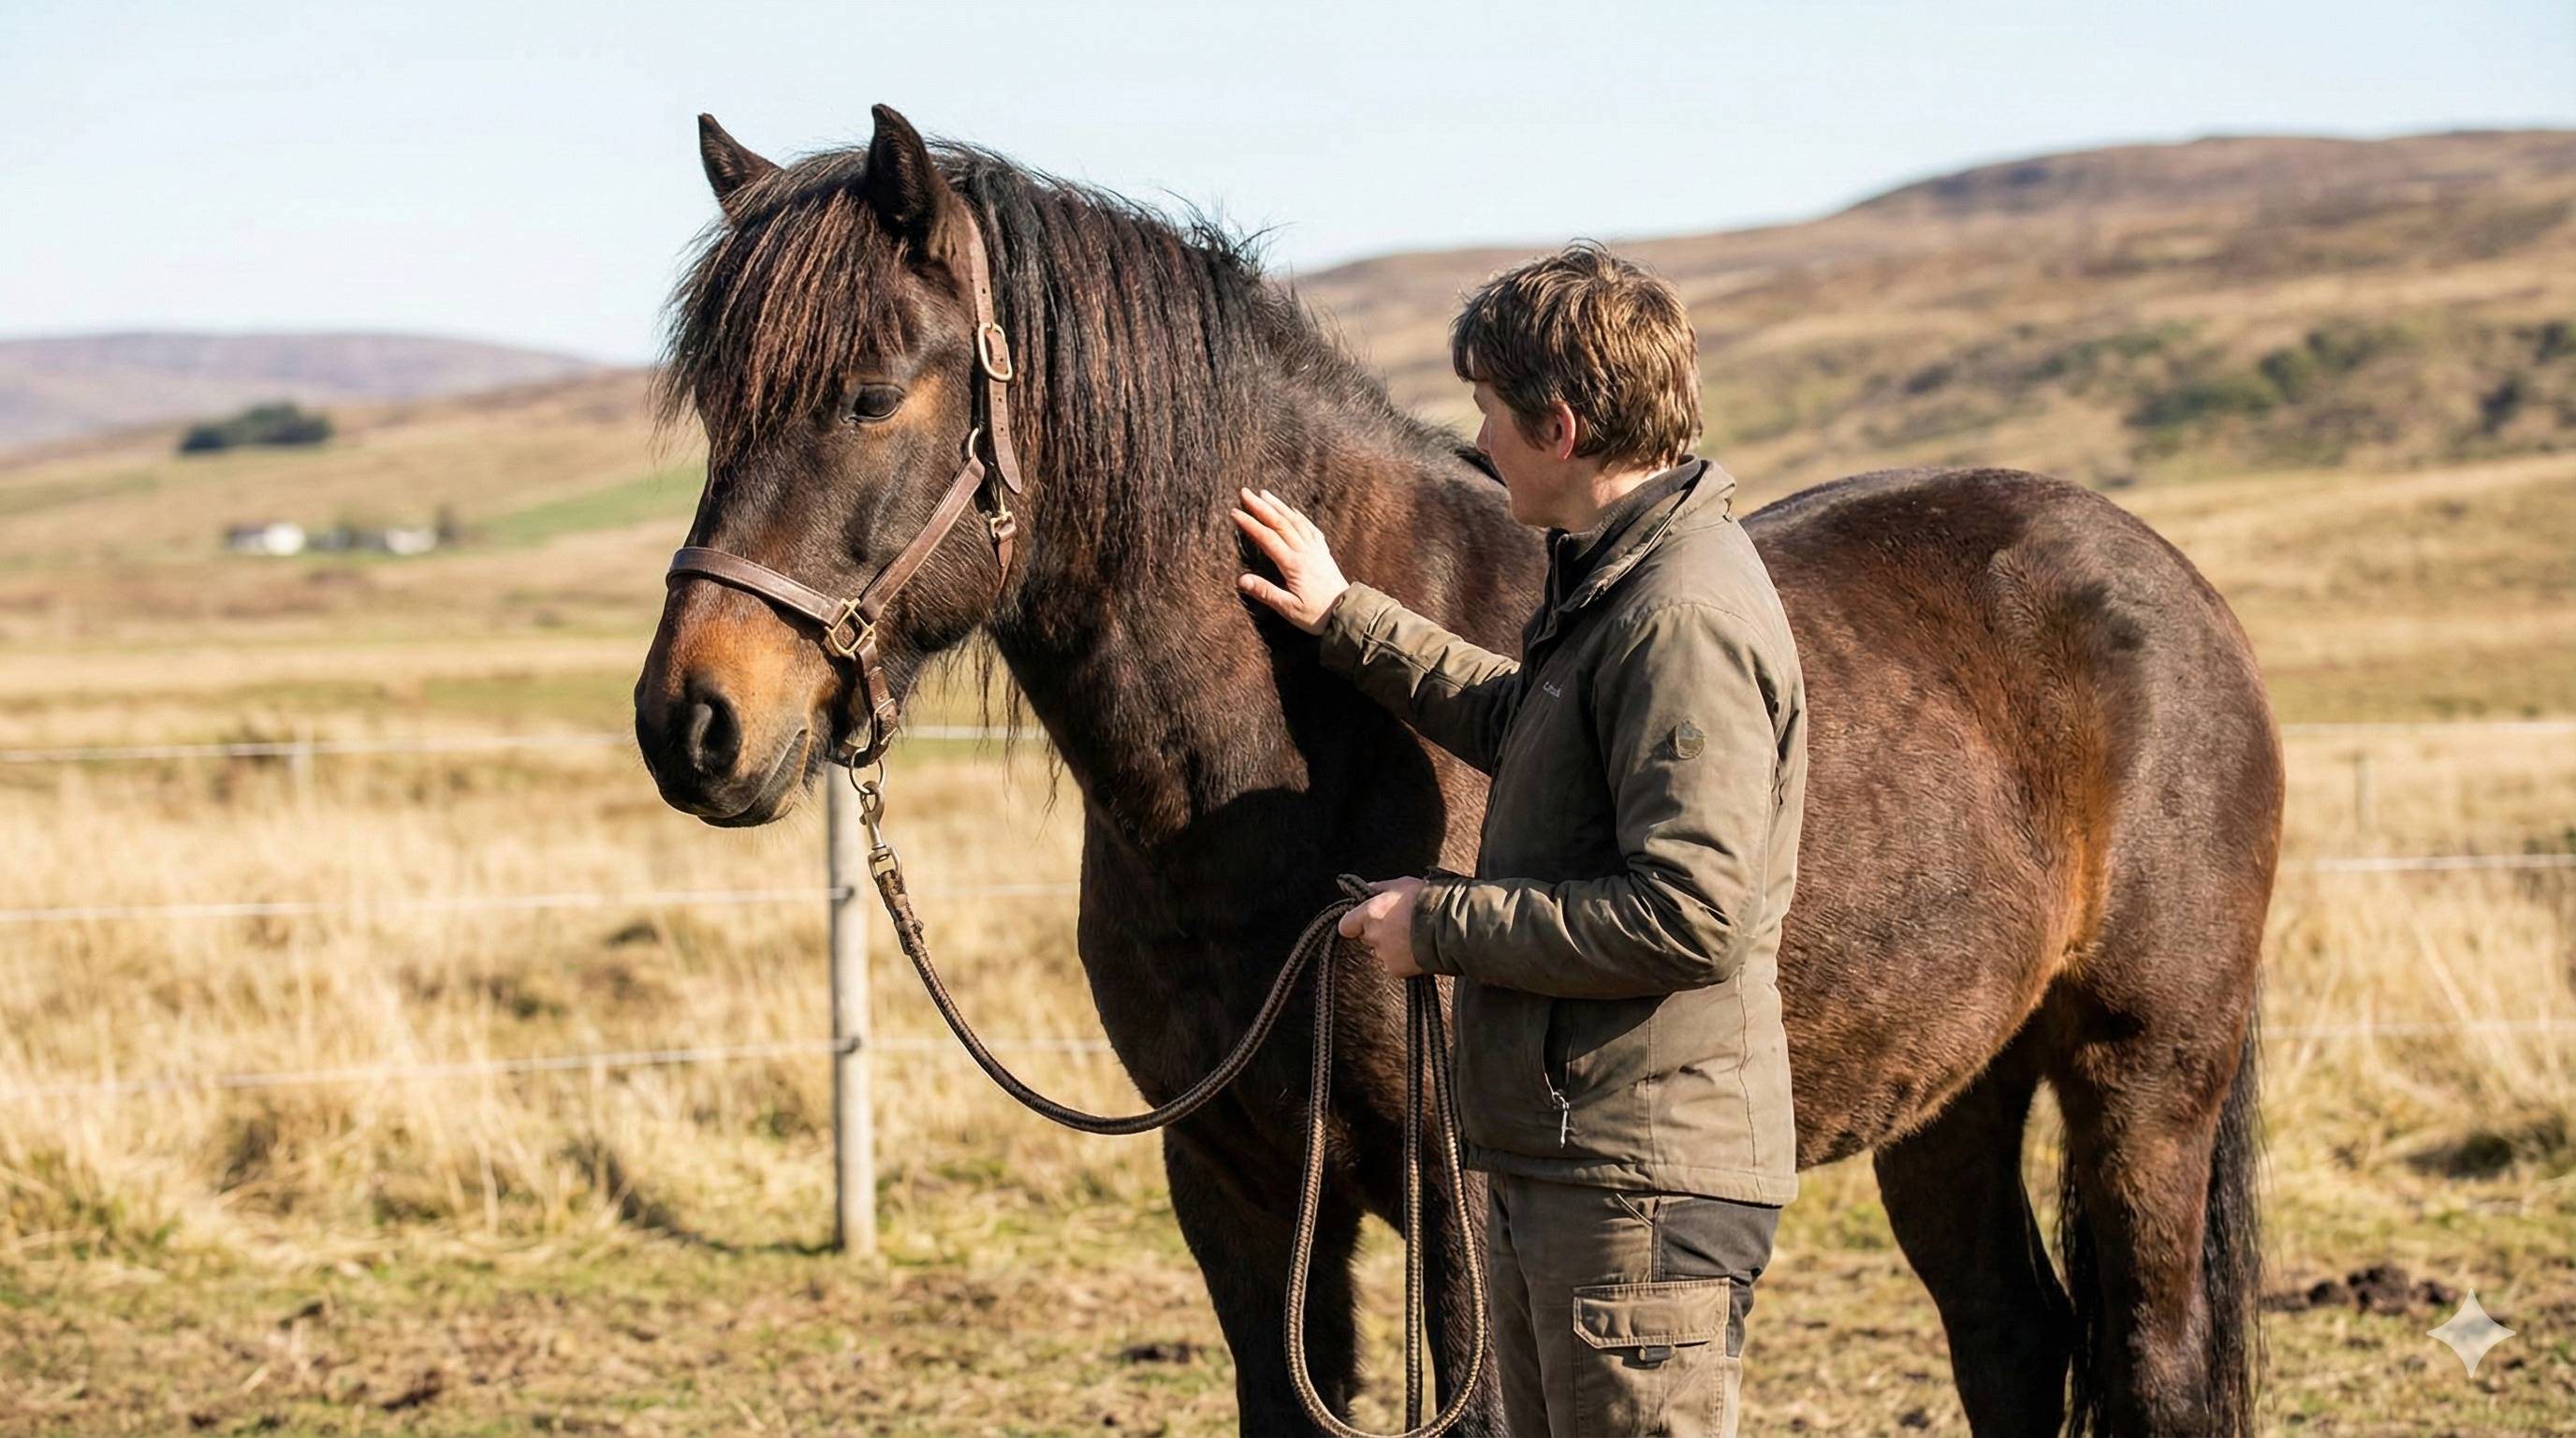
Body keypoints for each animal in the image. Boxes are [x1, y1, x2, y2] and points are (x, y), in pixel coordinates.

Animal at [633, 105, 2281, 1437]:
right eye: (716, 409)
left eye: (868, 393)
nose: (691, 723)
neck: (1286, 759)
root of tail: (2168, 582)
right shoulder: (1232, 1182)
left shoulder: (1454, 1196)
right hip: (1953, 1094)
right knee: (2012, 1338)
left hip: (2144, 1078)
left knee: (2152, 1365)